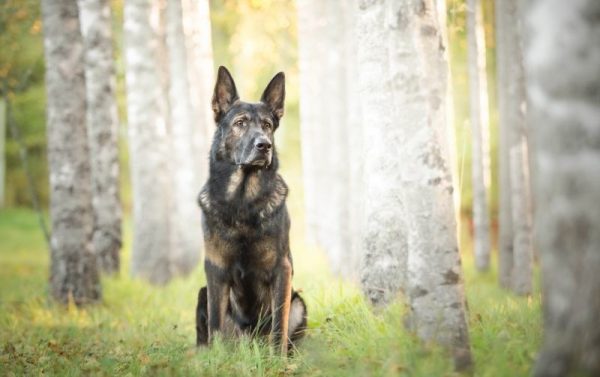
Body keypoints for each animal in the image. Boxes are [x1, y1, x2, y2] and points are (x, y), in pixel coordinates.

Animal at [196, 66, 308, 354]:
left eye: (267, 126)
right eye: (240, 123)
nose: (264, 145)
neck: (242, 203)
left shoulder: (282, 269)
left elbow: (279, 325)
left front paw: (277, 360)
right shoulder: (215, 269)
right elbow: (215, 324)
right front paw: (216, 359)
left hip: (299, 303)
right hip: (202, 294)